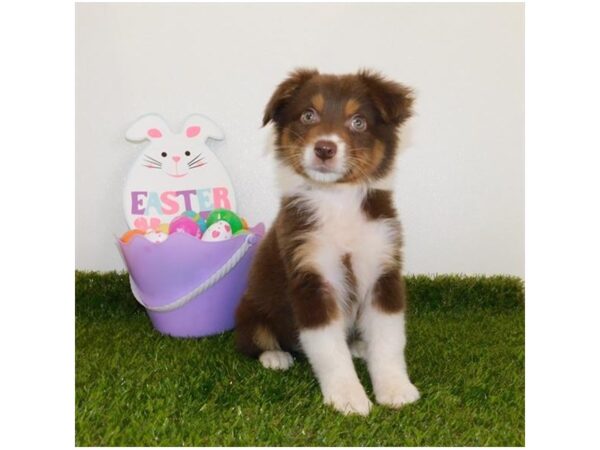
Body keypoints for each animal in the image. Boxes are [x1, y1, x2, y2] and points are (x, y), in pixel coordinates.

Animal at [234, 68, 418, 416]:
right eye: (309, 115)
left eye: (358, 122)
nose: (324, 148)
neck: (338, 199)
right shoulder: (311, 276)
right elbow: (329, 349)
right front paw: (348, 397)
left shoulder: (384, 270)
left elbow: (389, 341)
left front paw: (395, 388)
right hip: (250, 309)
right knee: (253, 340)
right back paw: (275, 356)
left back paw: (359, 345)